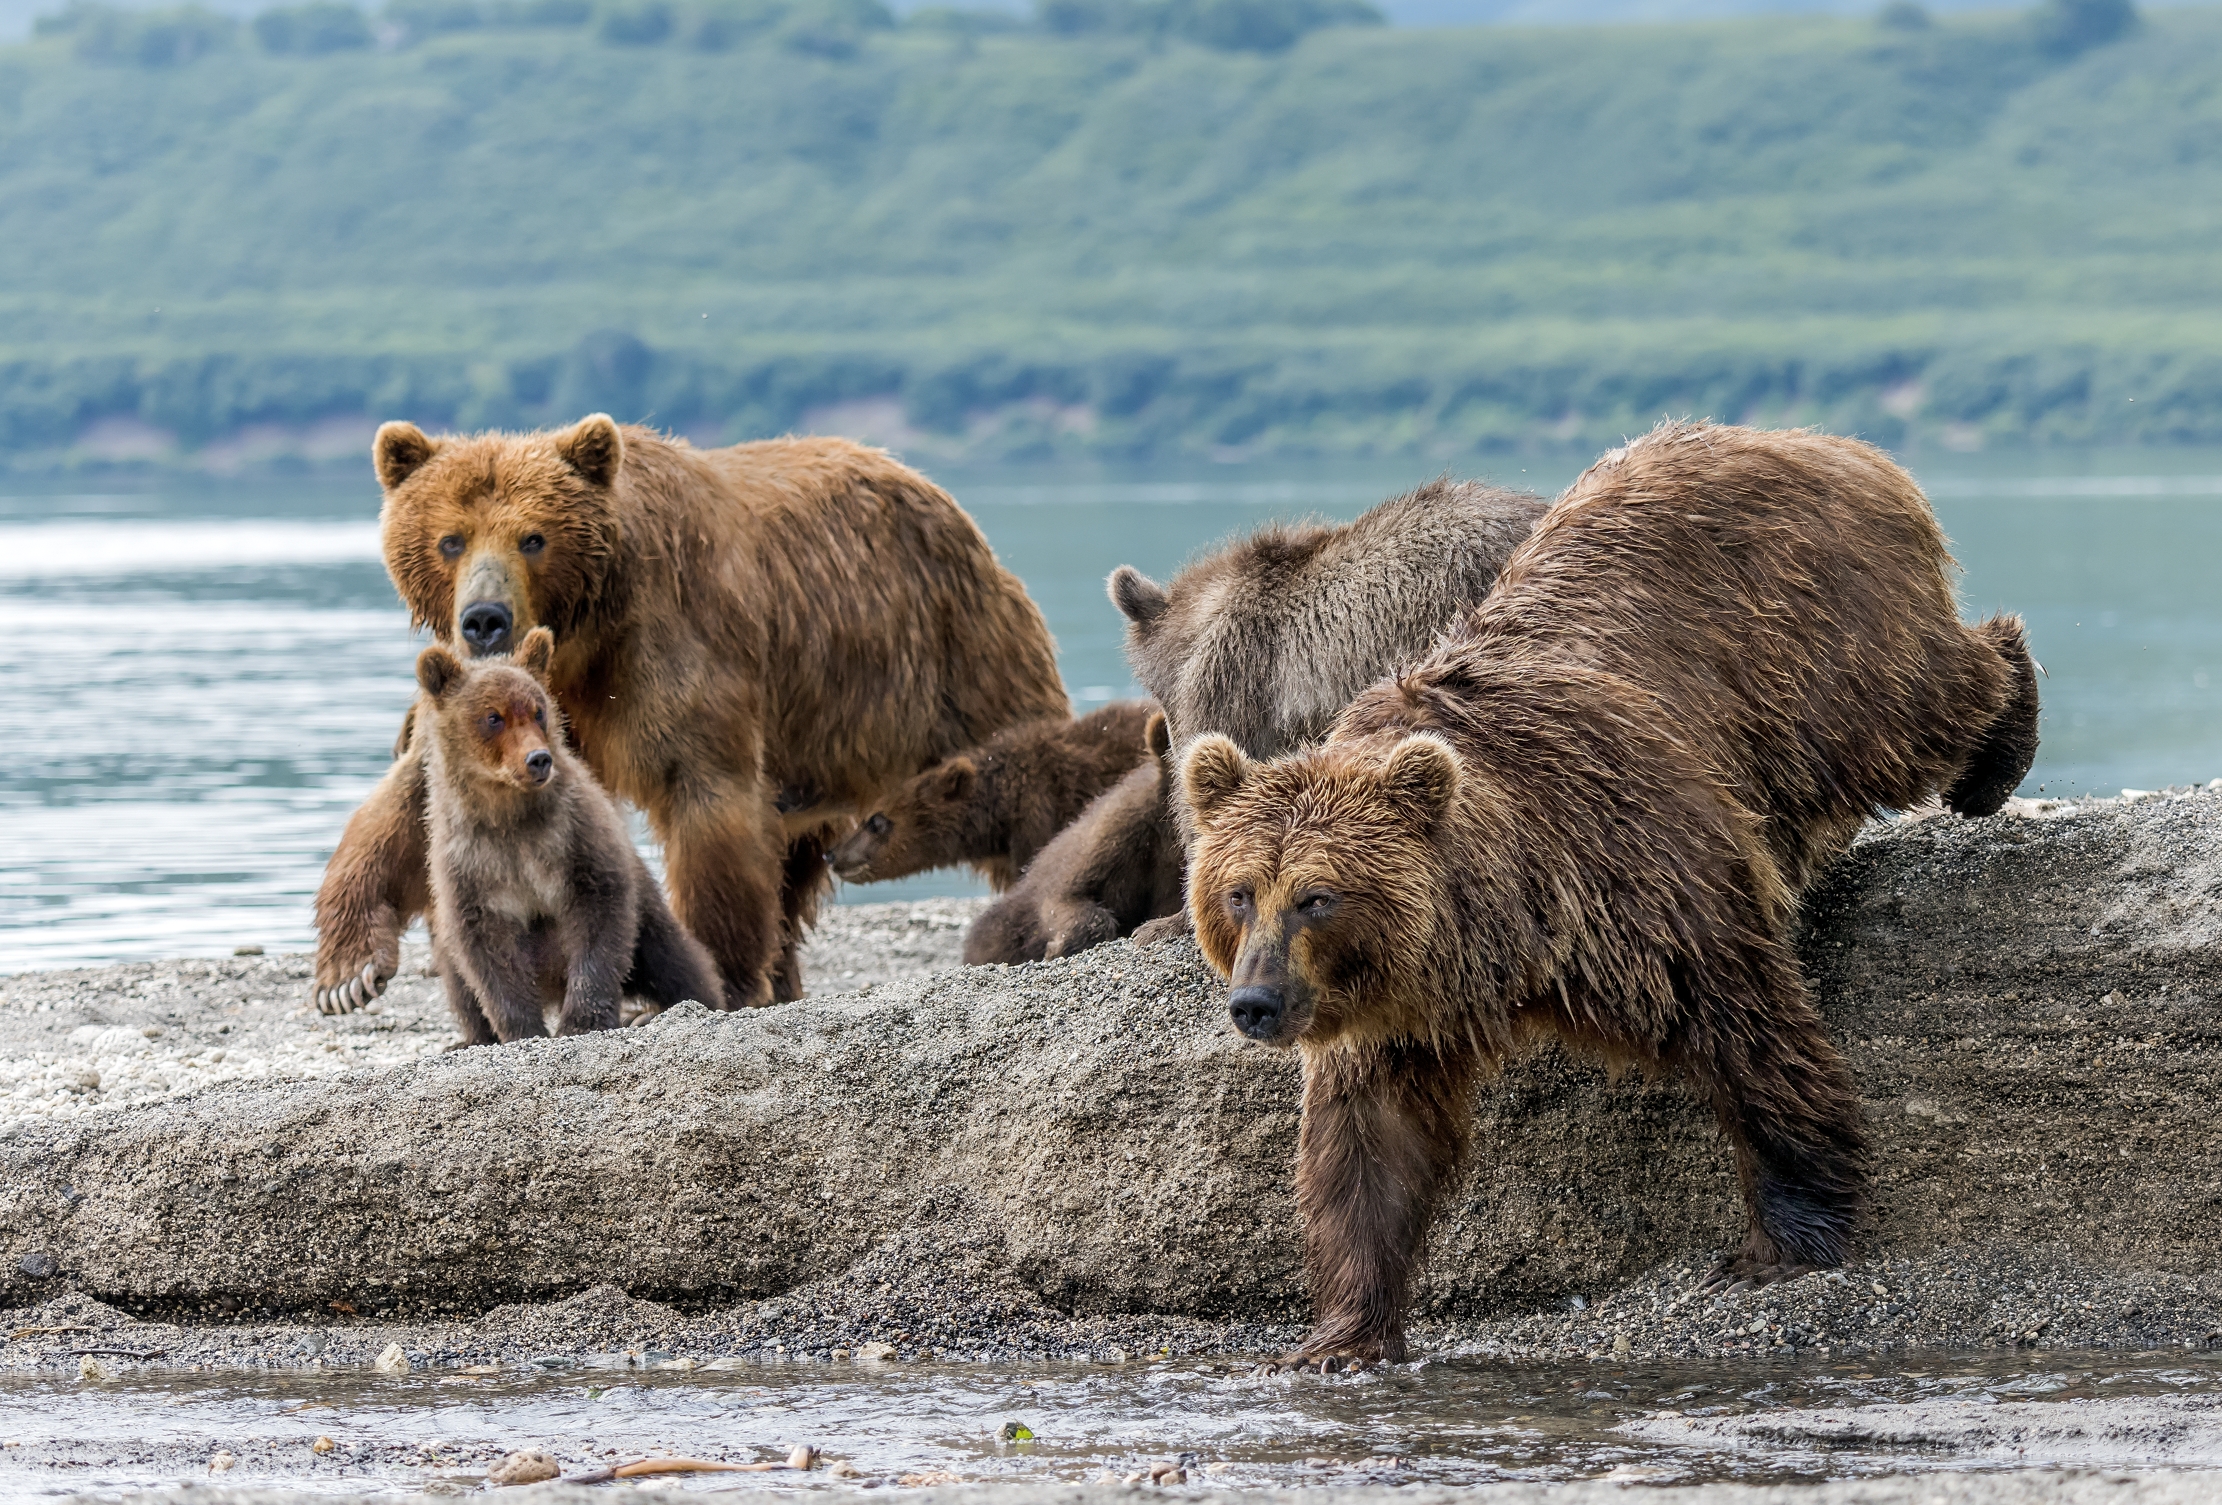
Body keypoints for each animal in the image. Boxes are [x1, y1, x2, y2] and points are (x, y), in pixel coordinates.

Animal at [415, 628, 721, 1043]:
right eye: (493, 717)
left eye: (538, 710)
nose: (538, 759)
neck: (509, 814)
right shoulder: (472, 861)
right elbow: (487, 954)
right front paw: (522, 1029)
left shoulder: (573, 836)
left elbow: (599, 919)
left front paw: (582, 1020)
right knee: (458, 981)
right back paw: (471, 1038)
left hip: (647, 912)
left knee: (671, 958)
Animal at [1179, 423, 2041, 1372]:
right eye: (1239, 892)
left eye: (1317, 897)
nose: (1255, 1003)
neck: (1509, 922)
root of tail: (1819, 441)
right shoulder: (1394, 1013)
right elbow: (1369, 1148)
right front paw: (1339, 1335)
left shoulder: (1636, 872)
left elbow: (1752, 1032)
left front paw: (1778, 1243)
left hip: (1815, 646)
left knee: (1915, 707)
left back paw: (1998, 747)